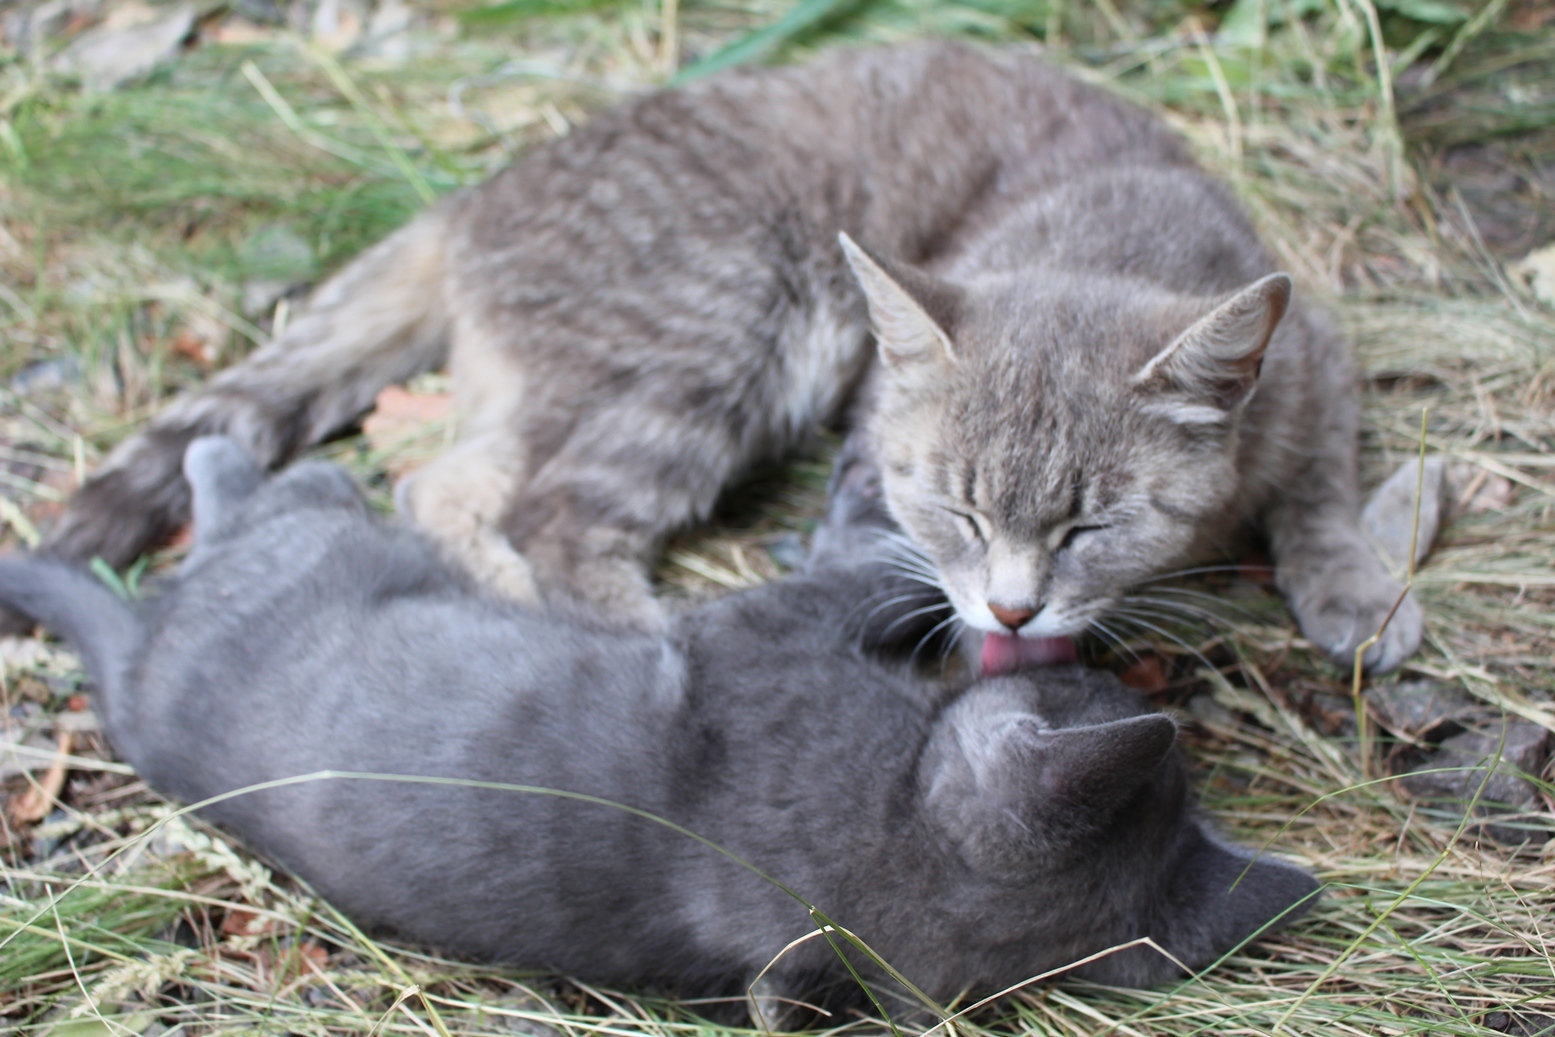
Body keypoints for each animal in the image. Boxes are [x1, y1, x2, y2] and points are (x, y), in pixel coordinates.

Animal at [0, 435, 1318, 1019]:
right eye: (1124, 702)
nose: (1113, 670)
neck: (894, 821)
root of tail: (132, 676)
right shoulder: (764, 639)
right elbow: (866, 579)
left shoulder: (755, 641)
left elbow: (851, 576)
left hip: (312, 549)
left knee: (264, 506)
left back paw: (223, 457)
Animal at [36, 38, 1424, 674]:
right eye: (956, 510)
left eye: (1093, 526)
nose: (1011, 608)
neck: (1105, 228)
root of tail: (474, 199)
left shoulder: (1317, 356)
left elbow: (1318, 485)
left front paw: (1349, 577)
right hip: (716, 331)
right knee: (549, 512)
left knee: (445, 482)